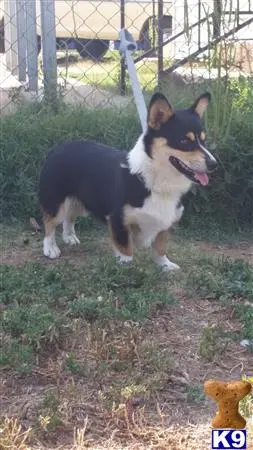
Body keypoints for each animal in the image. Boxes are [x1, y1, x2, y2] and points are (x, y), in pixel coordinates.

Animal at [38, 89, 216, 268]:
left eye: (204, 140)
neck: (155, 182)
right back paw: (50, 248)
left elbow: (160, 247)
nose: (214, 164)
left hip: (79, 201)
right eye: (184, 140)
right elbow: (126, 249)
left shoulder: (167, 223)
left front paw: (165, 265)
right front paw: (126, 266)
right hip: (55, 202)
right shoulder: (118, 220)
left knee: (69, 217)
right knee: (49, 223)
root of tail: (59, 147)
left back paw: (69, 237)